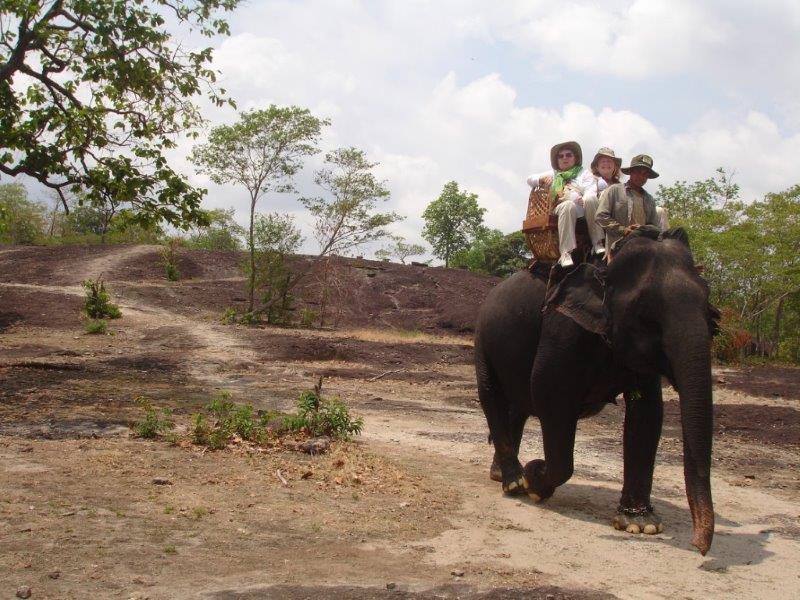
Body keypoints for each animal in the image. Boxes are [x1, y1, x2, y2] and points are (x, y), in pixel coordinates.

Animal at [476, 227, 720, 556]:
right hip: (483, 341)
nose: (700, 547)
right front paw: (535, 479)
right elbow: (549, 392)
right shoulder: (562, 327)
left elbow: (648, 413)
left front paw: (640, 525)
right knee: (494, 397)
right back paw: (514, 483)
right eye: (645, 312)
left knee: (518, 407)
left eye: (708, 304)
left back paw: (503, 475)